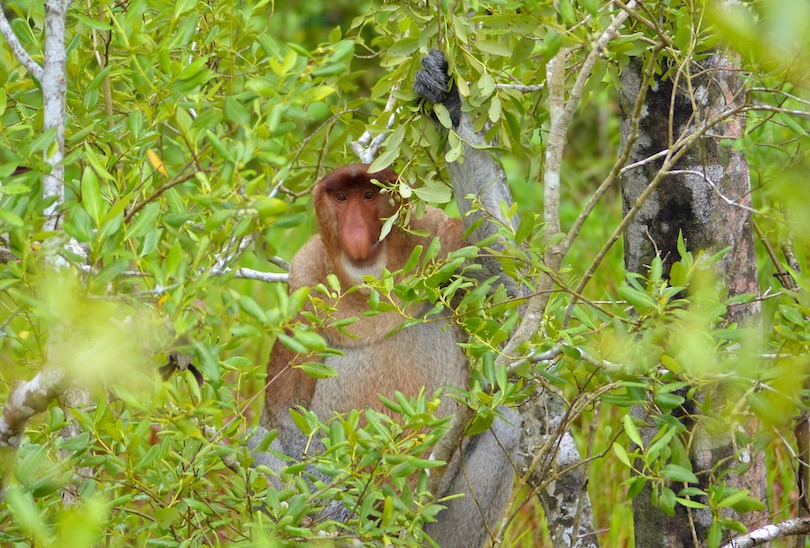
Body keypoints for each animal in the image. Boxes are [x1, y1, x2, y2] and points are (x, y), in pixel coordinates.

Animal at [249, 164, 516, 548]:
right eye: (341, 198)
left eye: (369, 195)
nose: (356, 233)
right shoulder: (303, 284)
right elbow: (284, 410)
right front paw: (336, 506)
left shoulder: (443, 239)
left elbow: (507, 277)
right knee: (254, 441)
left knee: (505, 424)